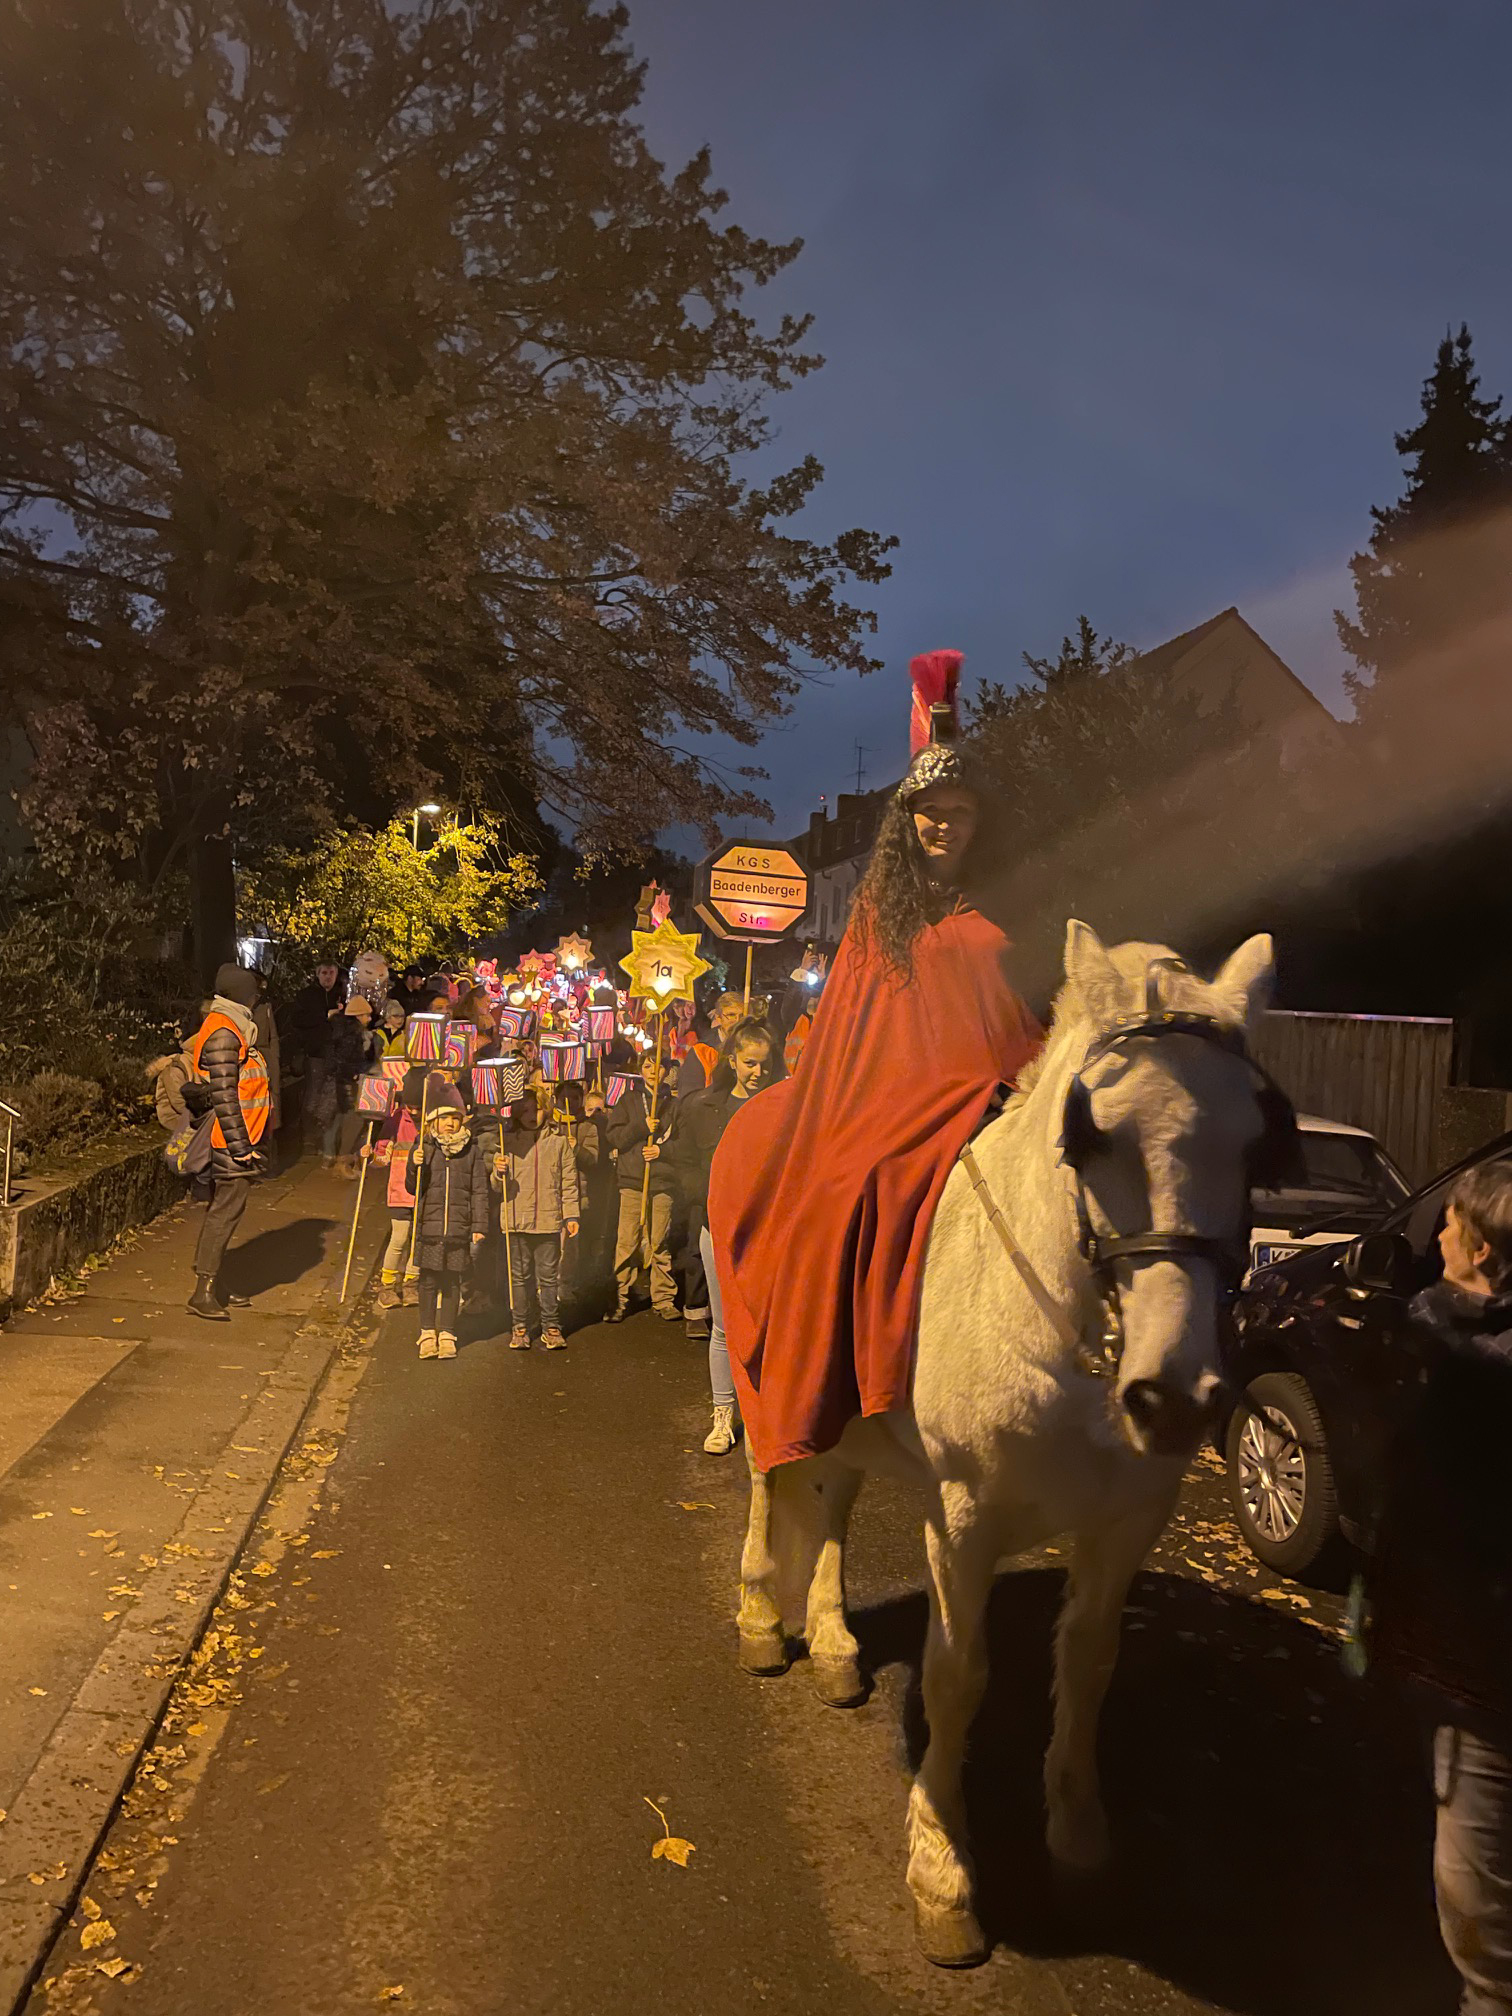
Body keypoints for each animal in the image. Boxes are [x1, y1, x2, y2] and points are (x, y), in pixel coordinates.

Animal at [733, 920, 1295, 1967]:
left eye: (1256, 1145)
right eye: (1092, 1134)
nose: (1176, 1397)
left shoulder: (1127, 1522)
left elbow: (1090, 1662)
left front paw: (1077, 1837)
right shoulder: (964, 1521)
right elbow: (957, 1678)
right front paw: (942, 1871)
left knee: (831, 1501)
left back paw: (830, 1640)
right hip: (764, 1379)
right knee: (768, 1480)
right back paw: (758, 1617)